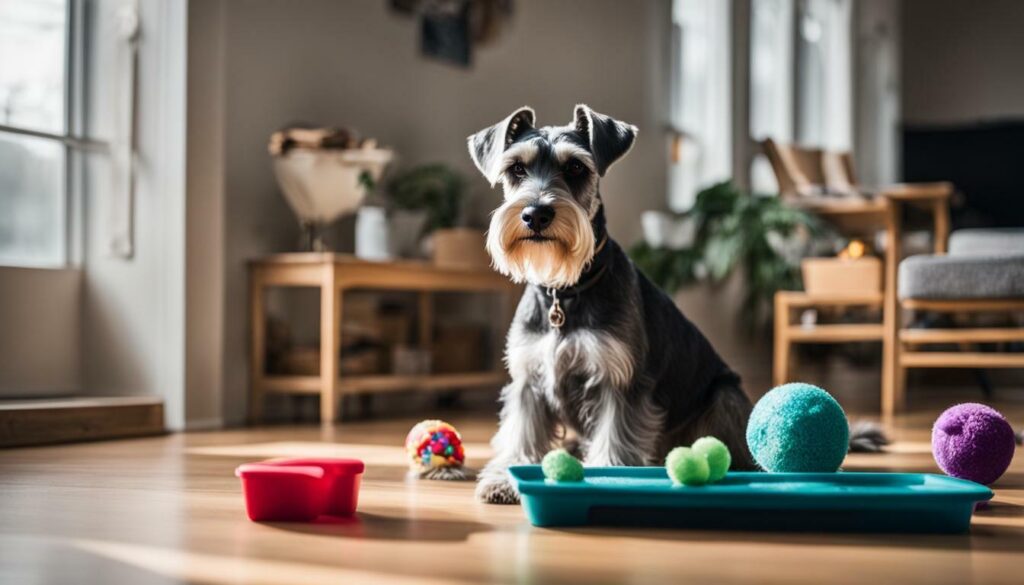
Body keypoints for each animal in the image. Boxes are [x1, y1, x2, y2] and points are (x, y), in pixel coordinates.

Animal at [468, 105, 757, 504]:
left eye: (576, 167)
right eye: (516, 169)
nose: (536, 214)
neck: (565, 291)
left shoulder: (619, 381)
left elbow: (615, 437)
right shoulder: (528, 382)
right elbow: (522, 432)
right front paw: (504, 477)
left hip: (724, 396)